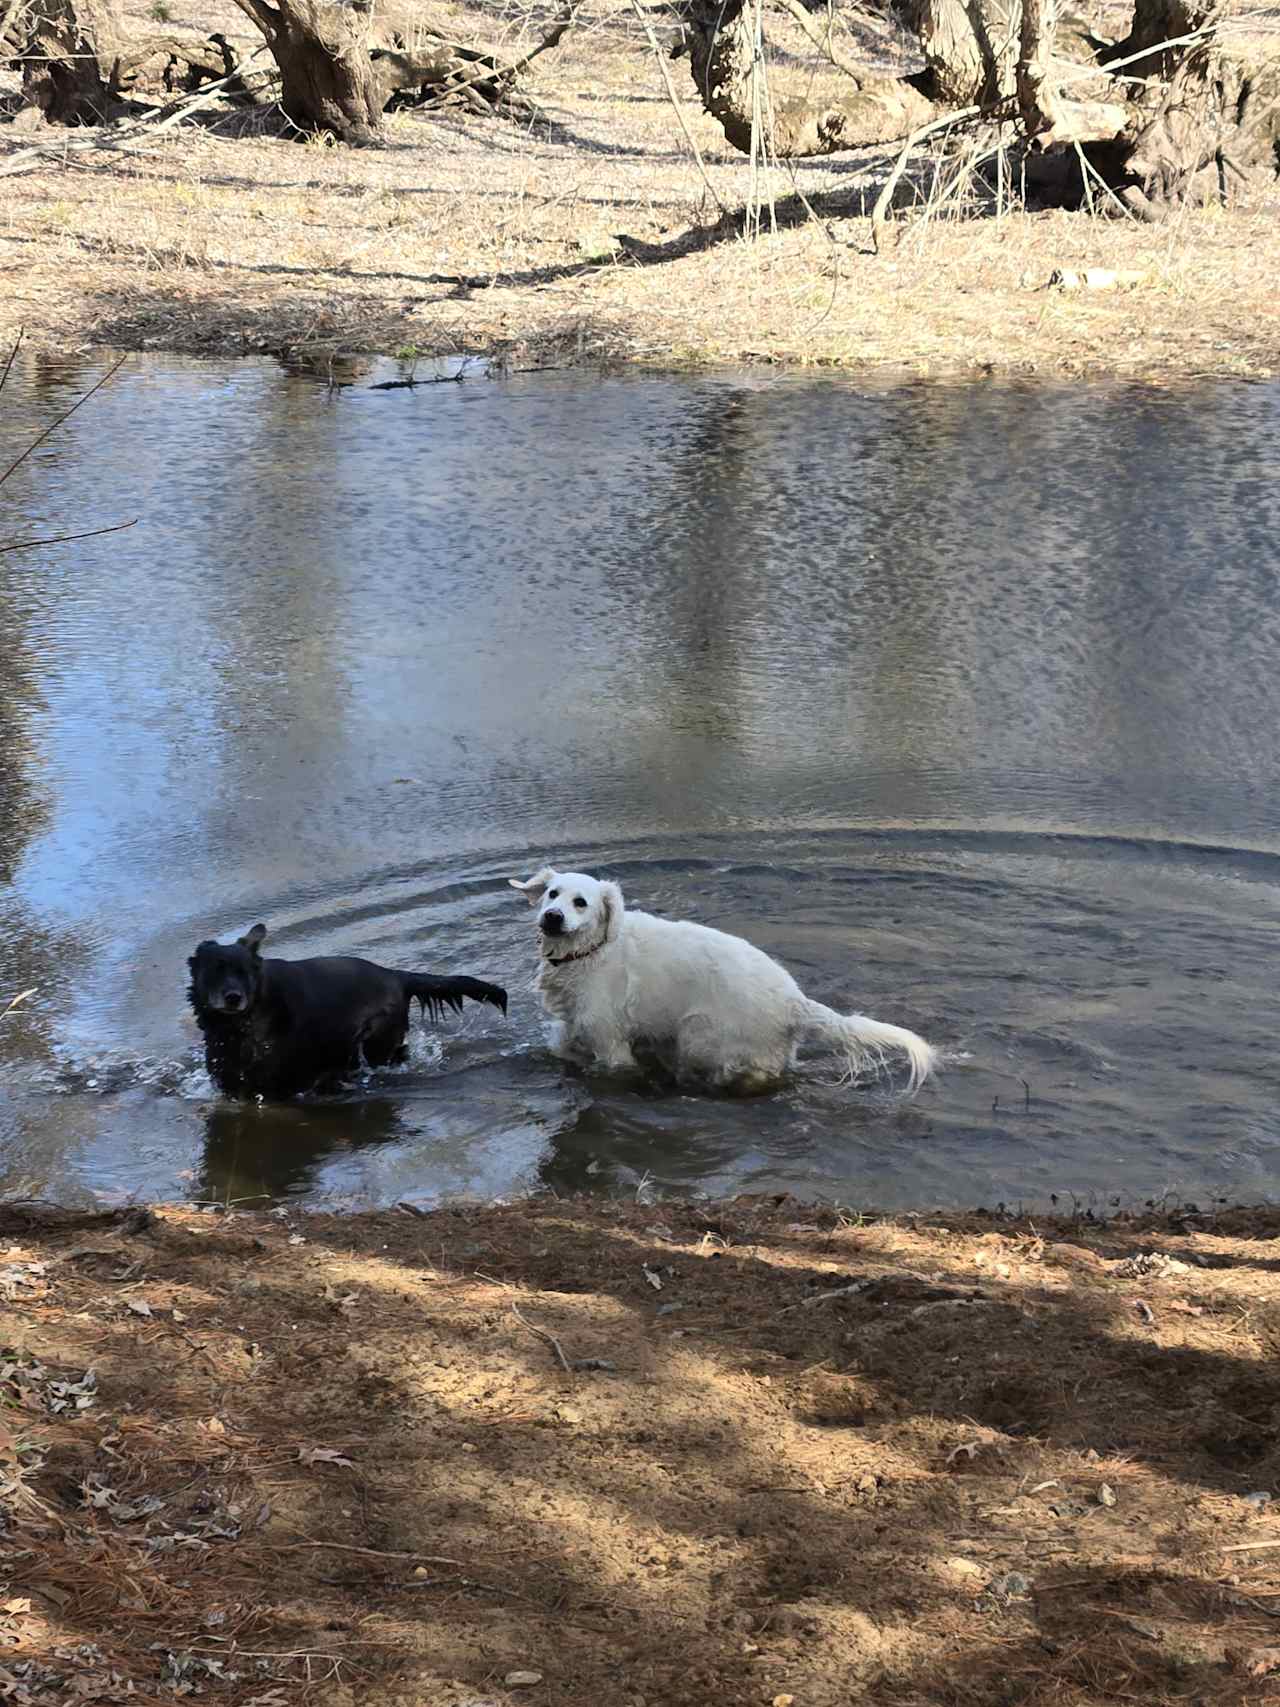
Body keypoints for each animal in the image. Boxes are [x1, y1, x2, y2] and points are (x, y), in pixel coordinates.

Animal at [505, 867, 935, 1092]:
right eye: (552, 894)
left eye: (581, 902)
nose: (552, 917)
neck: (590, 952)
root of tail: (794, 1001)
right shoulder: (572, 1026)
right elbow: (561, 1046)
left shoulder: (611, 1044)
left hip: (701, 1035)